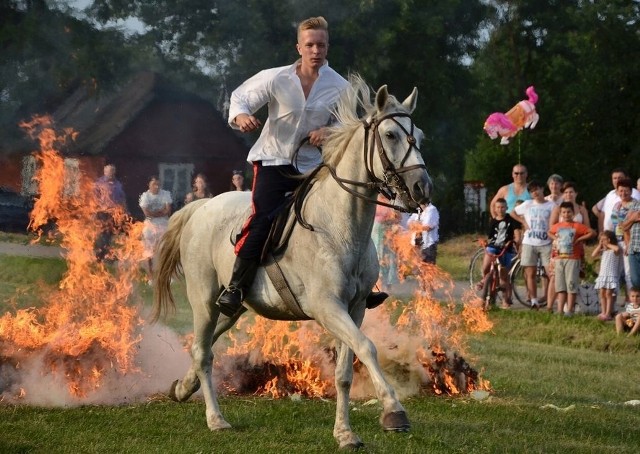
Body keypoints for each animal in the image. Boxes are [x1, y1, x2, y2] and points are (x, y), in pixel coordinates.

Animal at [152, 76, 432, 448]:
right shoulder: (327, 307)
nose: (422, 188)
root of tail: (201, 206)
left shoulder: (355, 308)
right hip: (204, 300)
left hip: (233, 307)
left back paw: (184, 388)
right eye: (390, 135)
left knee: (206, 344)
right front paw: (393, 410)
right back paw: (216, 419)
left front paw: (345, 433)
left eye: (420, 137)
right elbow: (367, 347)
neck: (339, 228)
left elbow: (345, 371)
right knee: (203, 352)